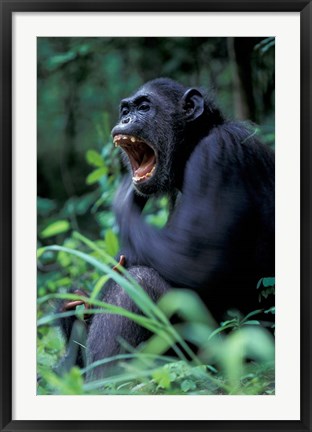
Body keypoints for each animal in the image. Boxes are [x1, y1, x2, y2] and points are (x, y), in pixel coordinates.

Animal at [60, 77, 272, 378]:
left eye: (144, 107)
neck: (190, 148)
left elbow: (194, 263)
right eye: (125, 110)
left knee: (139, 282)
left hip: (224, 351)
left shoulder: (218, 152)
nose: (125, 119)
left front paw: (123, 197)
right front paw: (74, 306)